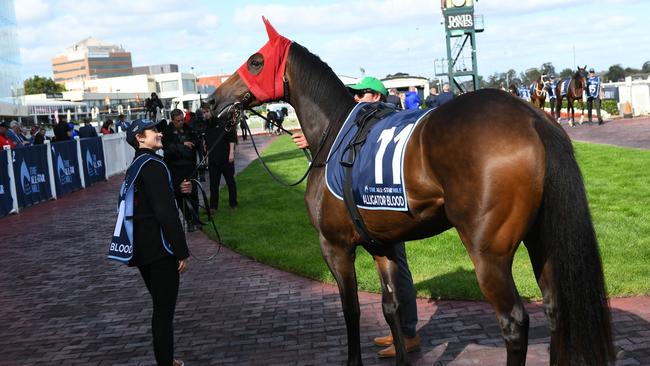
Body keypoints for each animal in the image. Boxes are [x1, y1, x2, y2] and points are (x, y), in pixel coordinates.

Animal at [209, 19, 612, 366]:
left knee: (514, 322)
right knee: (555, 307)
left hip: (489, 252)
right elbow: (391, 308)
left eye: (256, 61)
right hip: (541, 237)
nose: (213, 100)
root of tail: (532, 118)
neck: (333, 135)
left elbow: (351, 309)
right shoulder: (383, 245)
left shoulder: (334, 246)